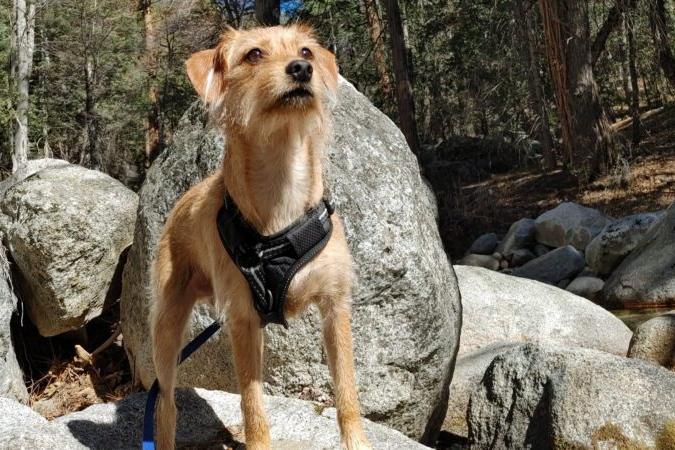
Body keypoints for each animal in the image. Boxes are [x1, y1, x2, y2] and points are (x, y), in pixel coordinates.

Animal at [149, 23, 372, 450]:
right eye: (253, 55)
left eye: (307, 51)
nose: (301, 68)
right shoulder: (243, 320)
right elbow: (252, 405)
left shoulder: (335, 307)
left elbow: (347, 392)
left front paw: (357, 442)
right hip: (167, 330)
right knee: (165, 404)